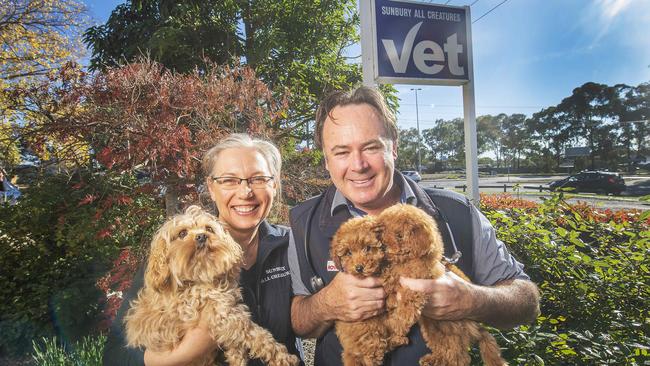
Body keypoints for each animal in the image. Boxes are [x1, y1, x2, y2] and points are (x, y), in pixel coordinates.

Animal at [124, 206, 298, 366]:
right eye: (182, 233)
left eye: (209, 228)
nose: (201, 236)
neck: (200, 275)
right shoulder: (221, 314)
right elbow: (255, 334)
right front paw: (283, 357)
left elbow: (235, 342)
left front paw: (237, 358)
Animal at [330, 206, 506, 366]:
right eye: (382, 231)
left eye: (399, 235)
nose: (384, 247)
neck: (406, 261)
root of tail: (476, 327)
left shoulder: (415, 287)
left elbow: (404, 310)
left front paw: (397, 322)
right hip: (434, 328)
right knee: (446, 350)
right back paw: (429, 358)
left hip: (451, 329)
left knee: (458, 357)